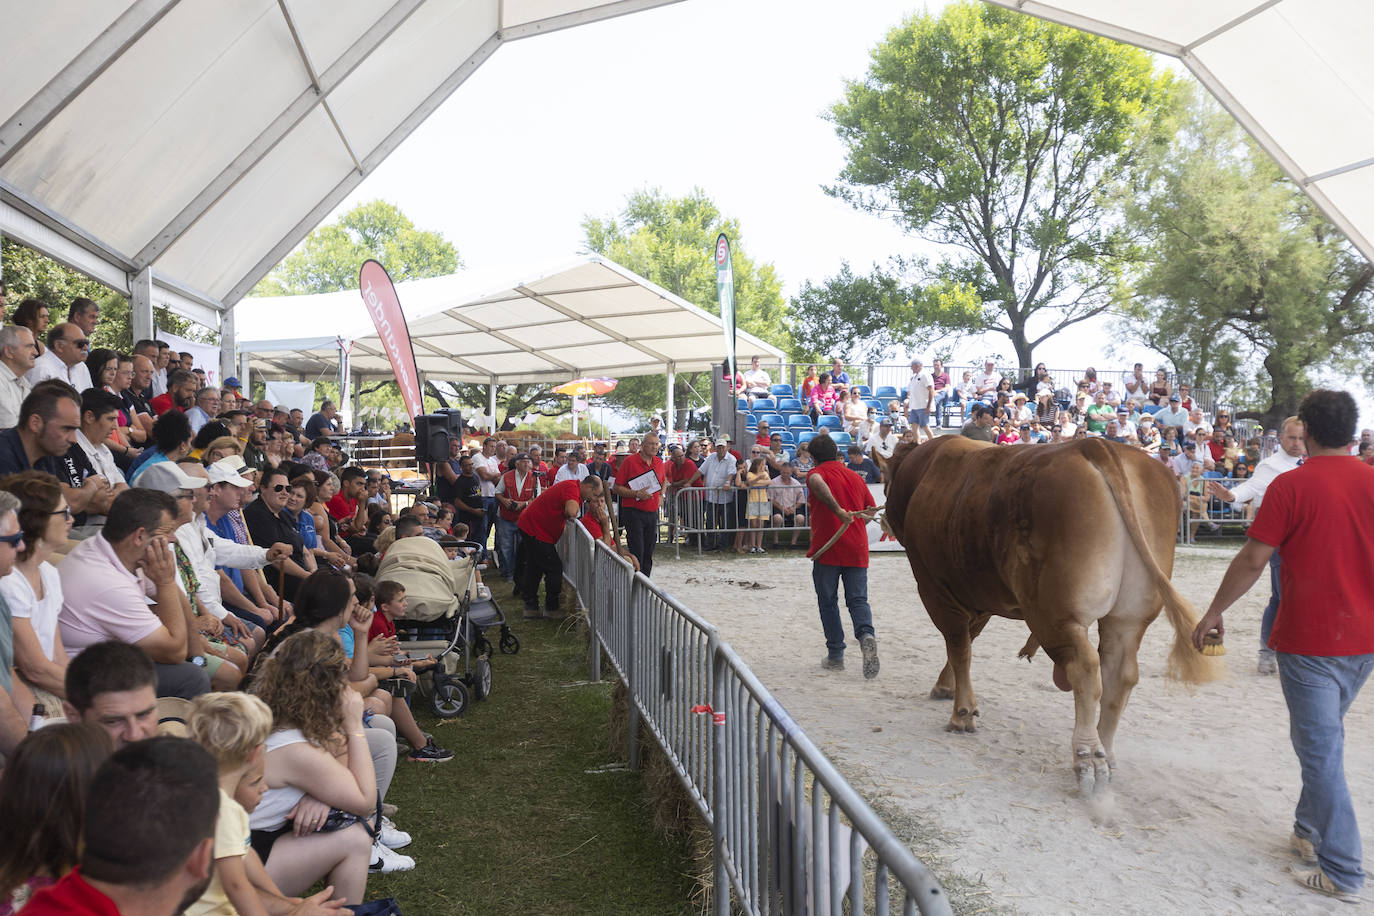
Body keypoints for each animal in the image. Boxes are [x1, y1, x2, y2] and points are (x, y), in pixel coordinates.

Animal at [879, 436, 1225, 796]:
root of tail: (1096, 445)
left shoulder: (935, 589)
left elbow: (959, 647)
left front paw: (962, 713)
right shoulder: (980, 595)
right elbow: (967, 642)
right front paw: (946, 687)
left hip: (1054, 613)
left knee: (1085, 668)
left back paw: (1088, 757)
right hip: (1129, 617)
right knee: (1120, 673)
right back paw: (1106, 751)